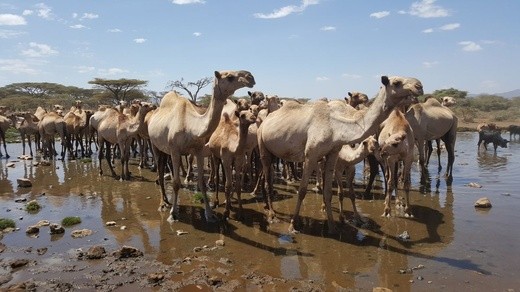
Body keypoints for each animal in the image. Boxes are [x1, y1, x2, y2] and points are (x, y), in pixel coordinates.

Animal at [147, 69, 255, 222]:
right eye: (229, 77)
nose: (251, 77)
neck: (191, 126)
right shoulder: (175, 150)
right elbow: (176, 183)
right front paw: (173, 214)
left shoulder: (197, 150)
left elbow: (202, 184)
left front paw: (209, 214)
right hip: (154, 144)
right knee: (159, 171)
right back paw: (163, 203)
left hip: (164, 149)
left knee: (162, 169)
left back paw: (167, 201)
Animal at [256, 74, 422, 233]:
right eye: (396, 82)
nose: (419, 86)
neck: (335, 126)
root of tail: (264, 120)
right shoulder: (310, 155)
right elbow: (302, 191)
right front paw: (293, 225)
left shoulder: (332, 153)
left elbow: (328, 191)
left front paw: (332, 227)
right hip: (262, 144)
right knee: (266, 176)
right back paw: (272, 215)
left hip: (273, 151)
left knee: (268, 176)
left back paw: (269, 207)